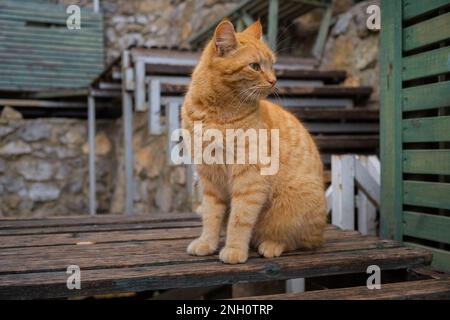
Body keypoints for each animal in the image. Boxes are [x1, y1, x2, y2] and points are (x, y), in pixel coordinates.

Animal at [181, 20, 326, 264]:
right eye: (255, 66)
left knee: (298, 241)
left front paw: (234, 249)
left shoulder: (249, 178)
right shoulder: (210, 179)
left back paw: (270, 245)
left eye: (272, 65)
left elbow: (240, 219)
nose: (274, 80)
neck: (215, 113)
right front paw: (207, 243)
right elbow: (211, 215)